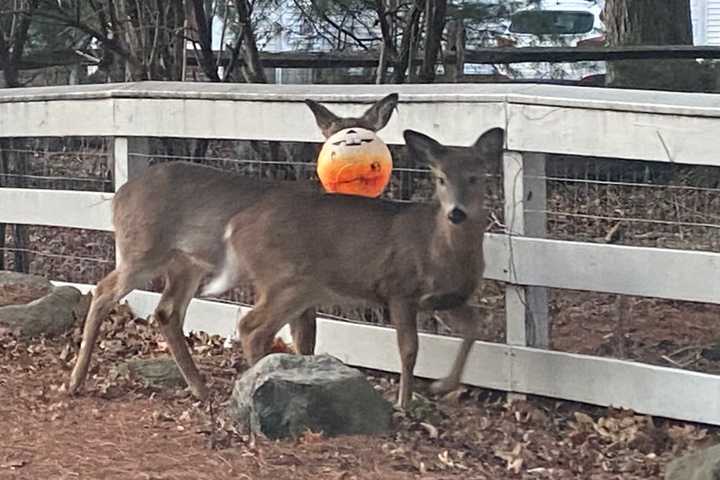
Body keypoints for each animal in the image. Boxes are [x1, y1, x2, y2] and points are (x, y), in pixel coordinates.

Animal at [67, 92, 400, 400]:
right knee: (104, 291)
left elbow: (305, 341)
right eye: (333, 137)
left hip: (186, 263)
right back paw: (74, 381)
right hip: (142, 250)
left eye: (370, 131)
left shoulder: (304, 292)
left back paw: (199, 388)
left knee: (166, 311)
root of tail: (118, 196)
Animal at [200, 125, 504, 406]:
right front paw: (404, 402)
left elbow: (473, 328)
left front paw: (442, 385)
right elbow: (409, 350)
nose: (456, 213)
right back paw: (259, 381)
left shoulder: (448, 299)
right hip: (287, 280)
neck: (438, 248)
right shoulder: (399, 290)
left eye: (476, 178)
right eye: (440, 179)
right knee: (252, 327)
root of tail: (235, 226)